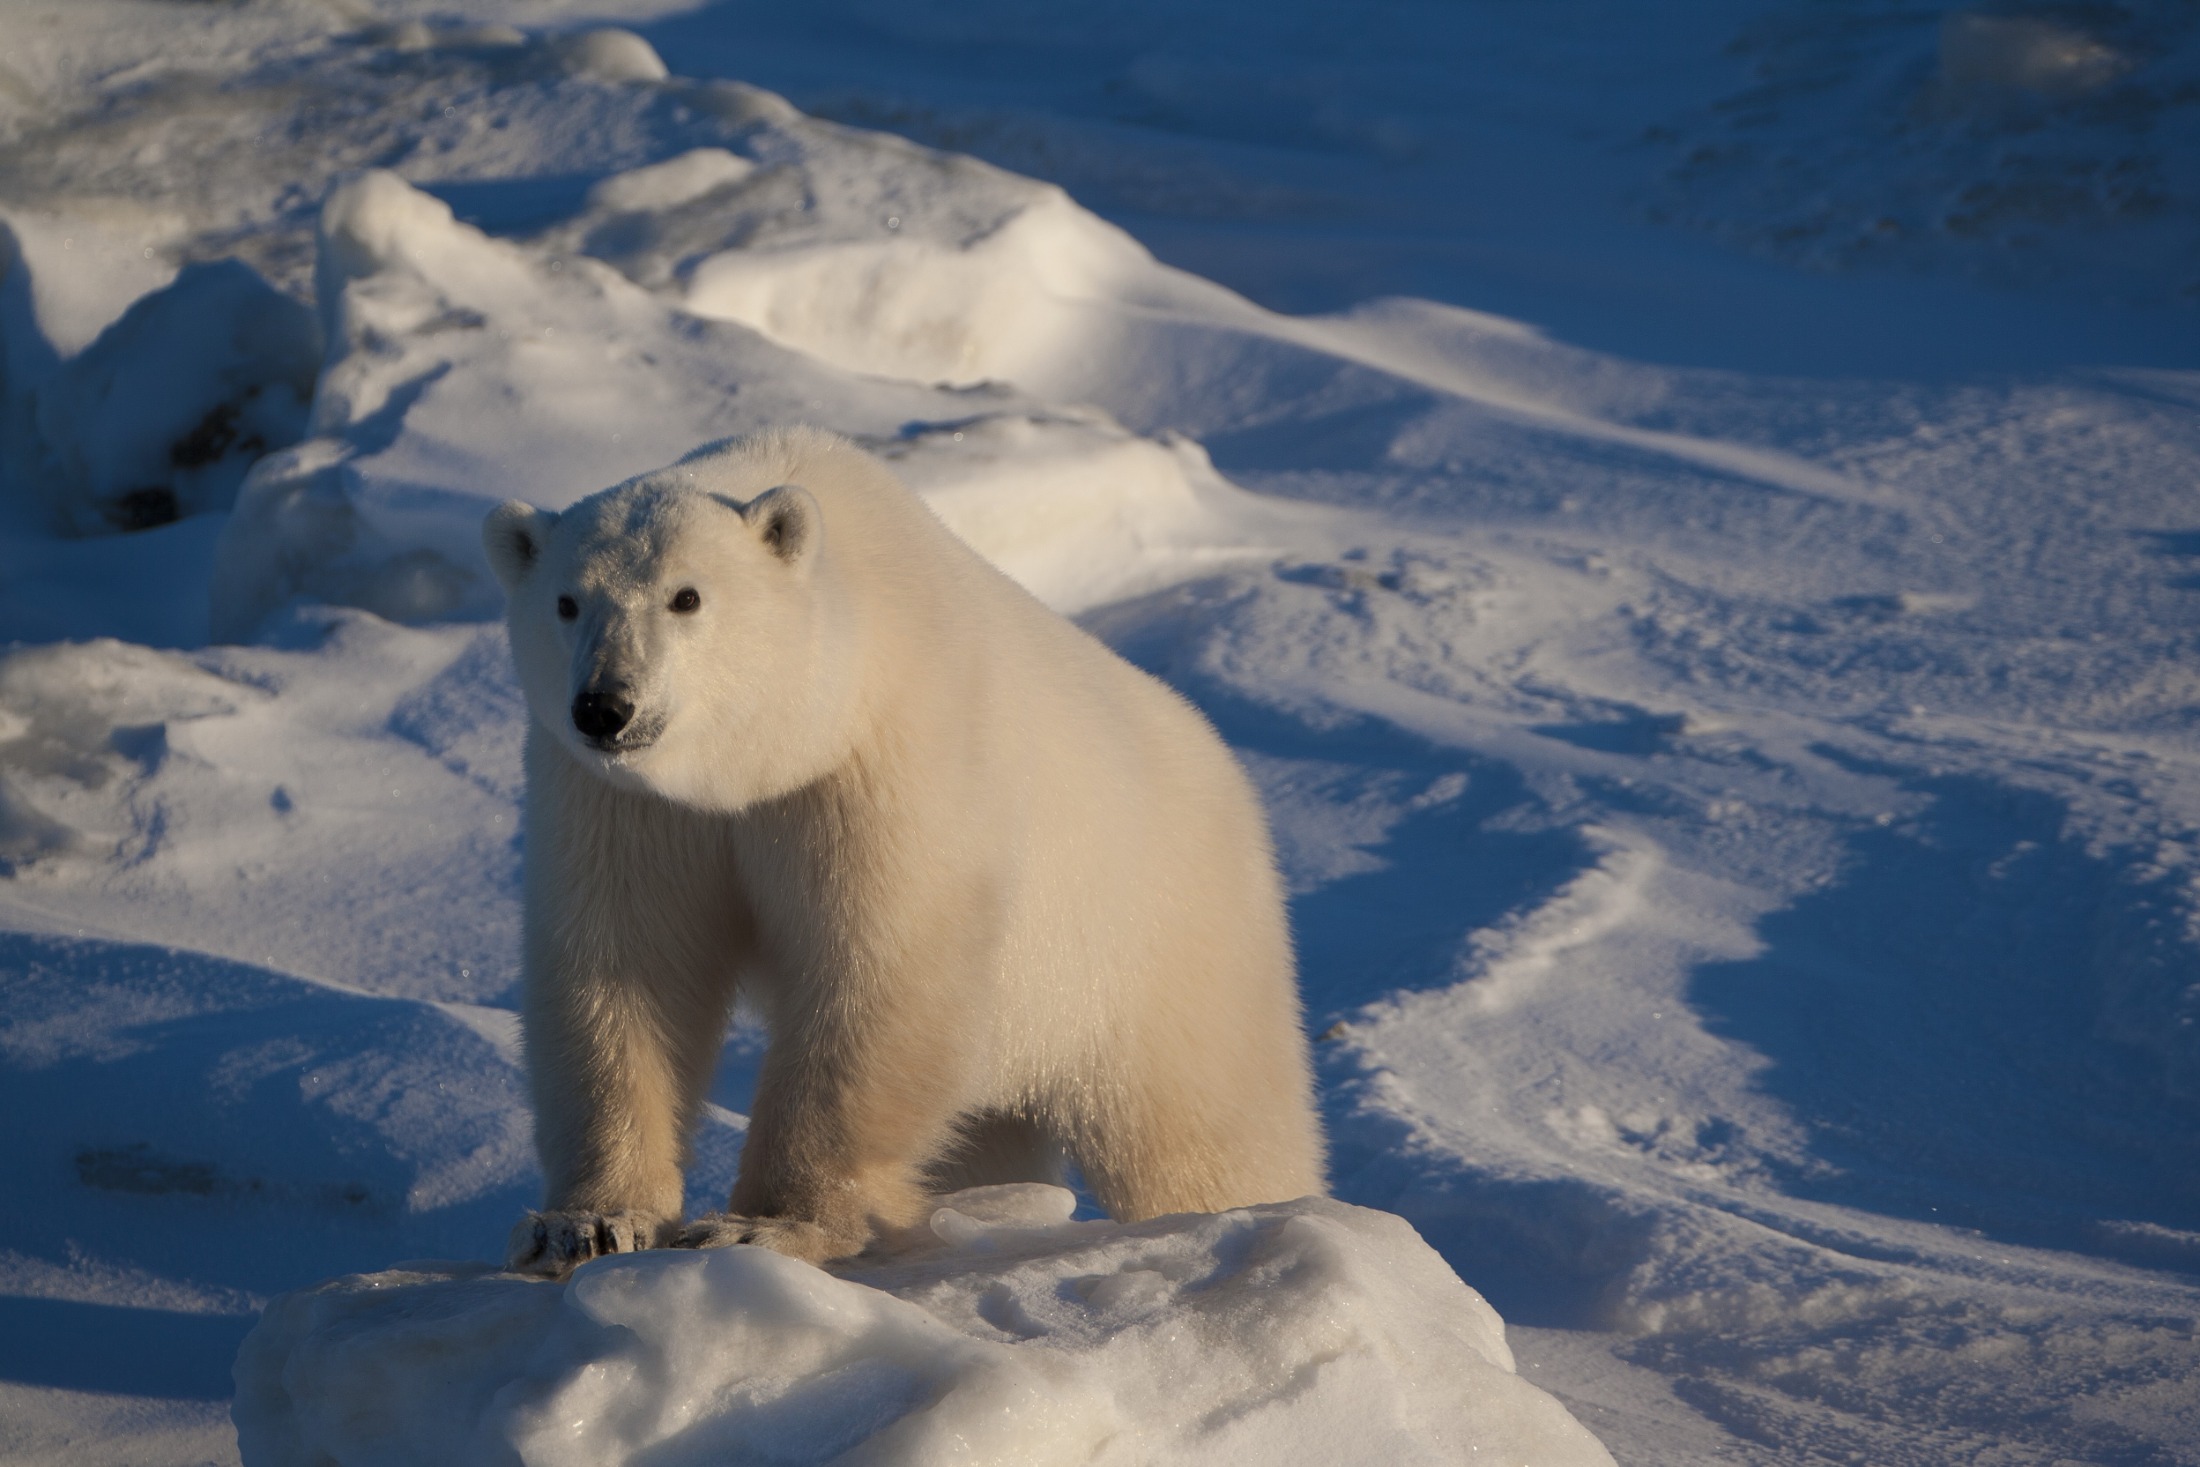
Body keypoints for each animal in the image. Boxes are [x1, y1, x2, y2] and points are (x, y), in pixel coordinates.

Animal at [484, 426, 1320, 1275]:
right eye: (566, 601)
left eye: (686, 596)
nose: (606, 706)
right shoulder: (628, 803)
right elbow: (626, 966)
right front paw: (588, 1223)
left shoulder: (885, 761)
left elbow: (876, 972)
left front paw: (763, 1225)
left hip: (1166, 946)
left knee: (1201, 1129)